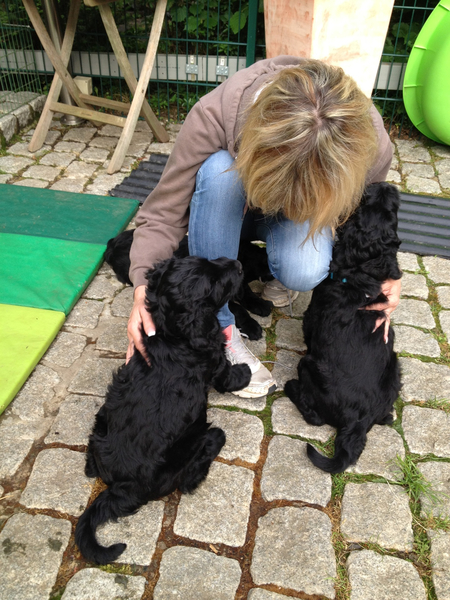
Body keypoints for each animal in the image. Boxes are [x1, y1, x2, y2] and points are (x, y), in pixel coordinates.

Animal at [75, 255, 252, 564]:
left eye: (209, 261)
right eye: (214, 283)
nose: (238, 264)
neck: (172, 335)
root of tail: (120, 486)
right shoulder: (214, 360)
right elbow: (226, 374)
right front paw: (244, 374)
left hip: (101, 422)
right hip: (186, 449)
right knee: (192, 474)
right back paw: (213, 441)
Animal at [104, 229, 274, 340]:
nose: (238, 266)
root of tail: (112, 241)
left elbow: (247, 293)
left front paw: (260, 304)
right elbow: (237, 308)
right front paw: (251, 326)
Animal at [284, 182, 402, 474]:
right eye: (391, 212)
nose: (387, 185)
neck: (360, 273)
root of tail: (358, 420)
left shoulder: (310, 318)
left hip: (308, 365)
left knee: (314, 417)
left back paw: (291, 388)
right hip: (395, 365)